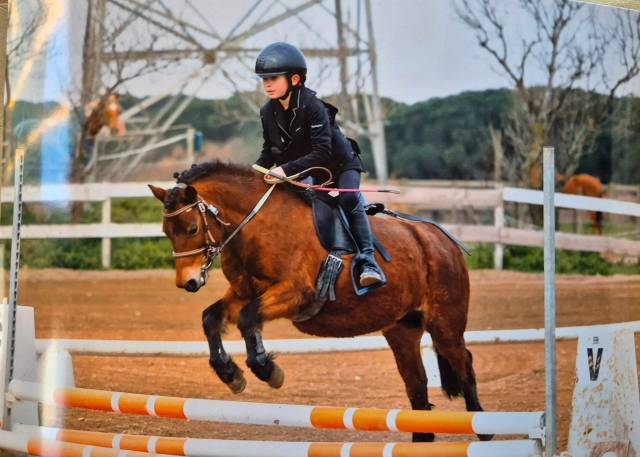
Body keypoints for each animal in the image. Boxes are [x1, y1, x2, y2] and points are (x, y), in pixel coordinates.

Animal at [149, 161, 491, 443]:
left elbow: (248, 318)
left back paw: (483, 429)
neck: (256, 225)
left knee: (464, 363)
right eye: (166, 231)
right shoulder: (245, 292)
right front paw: (230, 374)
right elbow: (212, 318)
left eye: (192, 228)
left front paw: (267, 369)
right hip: (402, 329)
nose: (189, 282)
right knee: (417, 384)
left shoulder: (297, 294)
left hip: (444, 324)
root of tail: (440, 238)